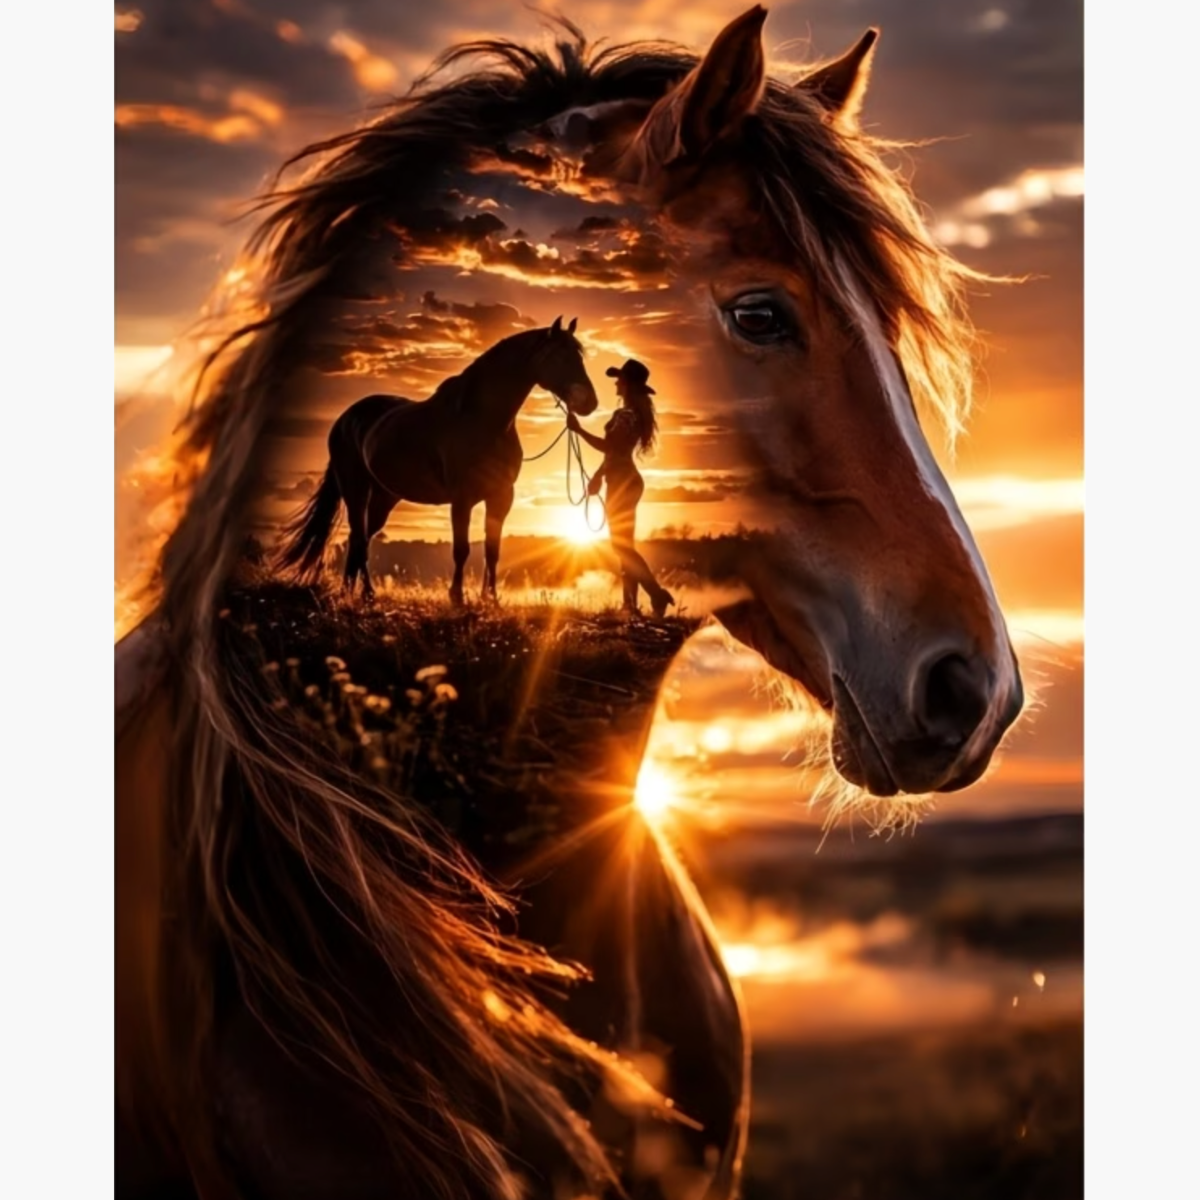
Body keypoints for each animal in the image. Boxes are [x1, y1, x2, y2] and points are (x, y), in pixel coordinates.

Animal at [276, 317, 599, 603]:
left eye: (580, 356)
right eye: (559, 356)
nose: (589, 403)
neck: (481, 419)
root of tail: (345, 419)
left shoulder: (501, 496)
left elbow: (492, 550)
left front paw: (491, 599)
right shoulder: (462, 498)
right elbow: (462, 549)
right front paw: (457, 597)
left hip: (384, 497)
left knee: (362, 539)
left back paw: (352, 592)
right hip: (356, 490)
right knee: (358, 537)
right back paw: (364, 593)